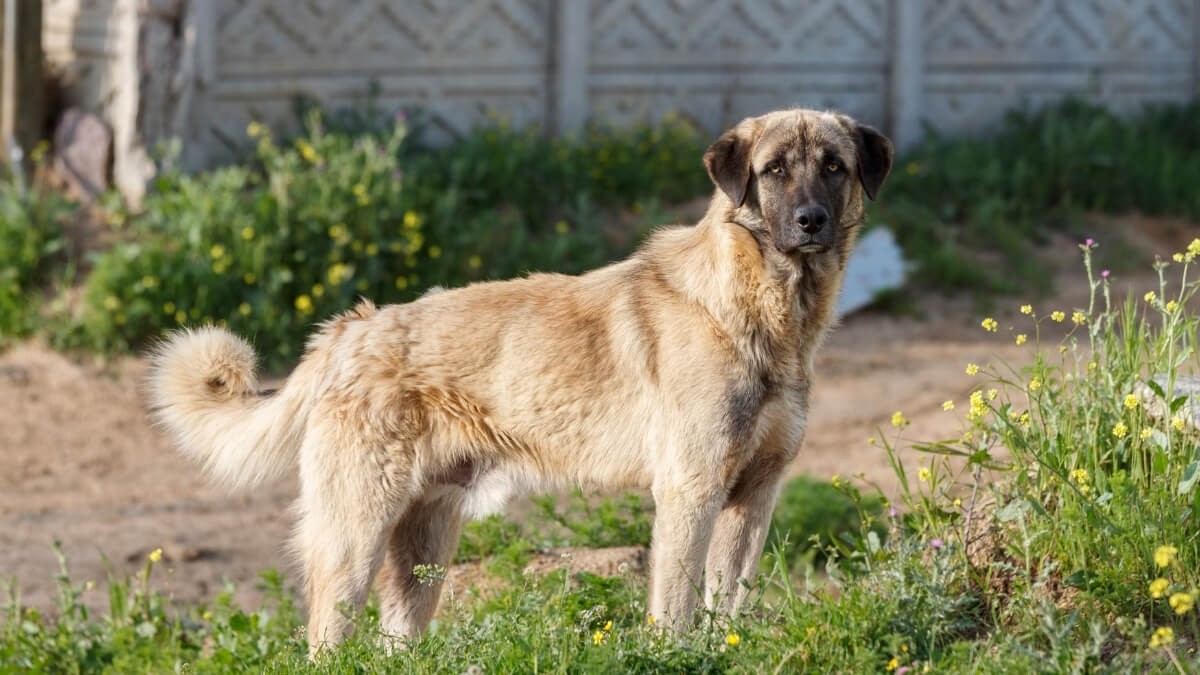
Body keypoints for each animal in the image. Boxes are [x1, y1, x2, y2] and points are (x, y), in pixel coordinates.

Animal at [147, 109, 892, 653]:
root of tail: (349, 329)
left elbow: (728, 602)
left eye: (834, 166)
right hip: (353, 534)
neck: (758, 308)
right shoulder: (691, 492)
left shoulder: (754, 498)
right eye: (774, 171)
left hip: (423, 551)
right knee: (325, 638)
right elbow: (678, 607)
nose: (811, 222)